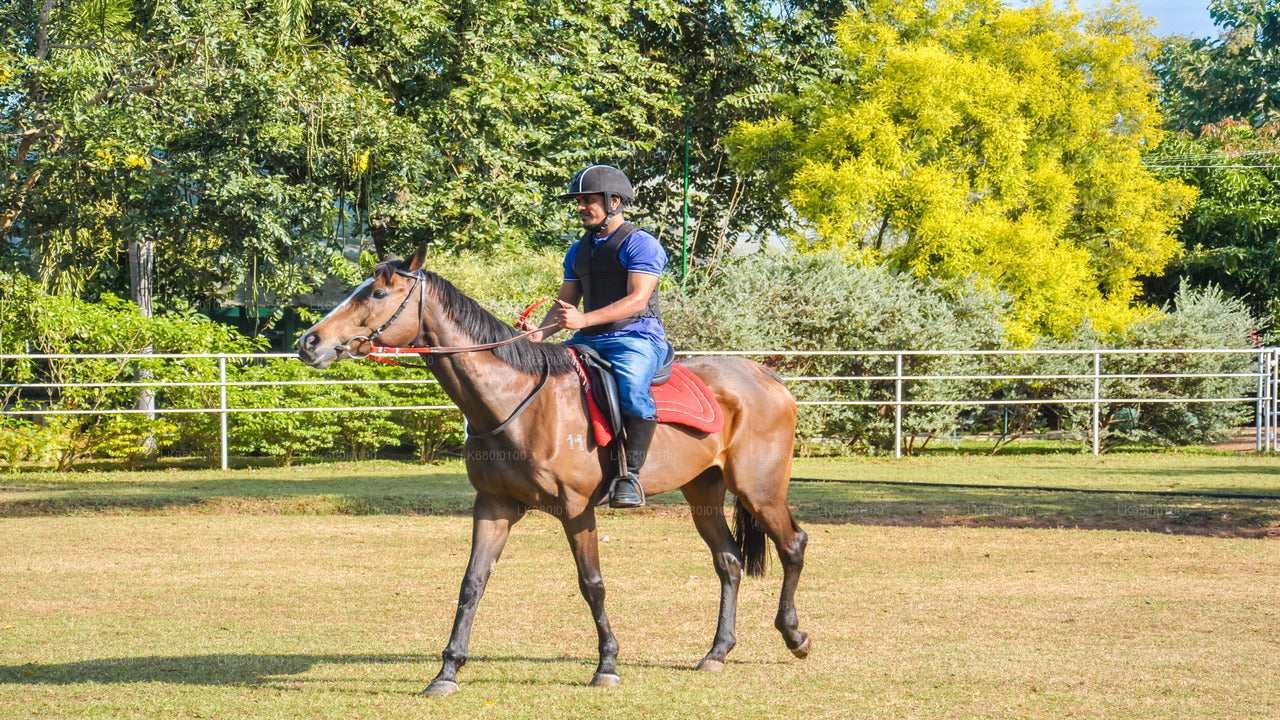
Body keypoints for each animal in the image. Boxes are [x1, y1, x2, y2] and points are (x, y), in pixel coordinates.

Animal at [296, 244, 809, 696]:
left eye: (378, 294)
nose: (309, 342)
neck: (518, 401)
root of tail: (767, 377)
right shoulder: (494, 507)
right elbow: (472, 585)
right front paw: (447, 672)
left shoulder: (577, 509)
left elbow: (592, 585)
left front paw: (607, 665)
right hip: (704, 493)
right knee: (729, 562)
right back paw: (717, 652)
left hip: (759, 492)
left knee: (792, 545)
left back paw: (794, 635)